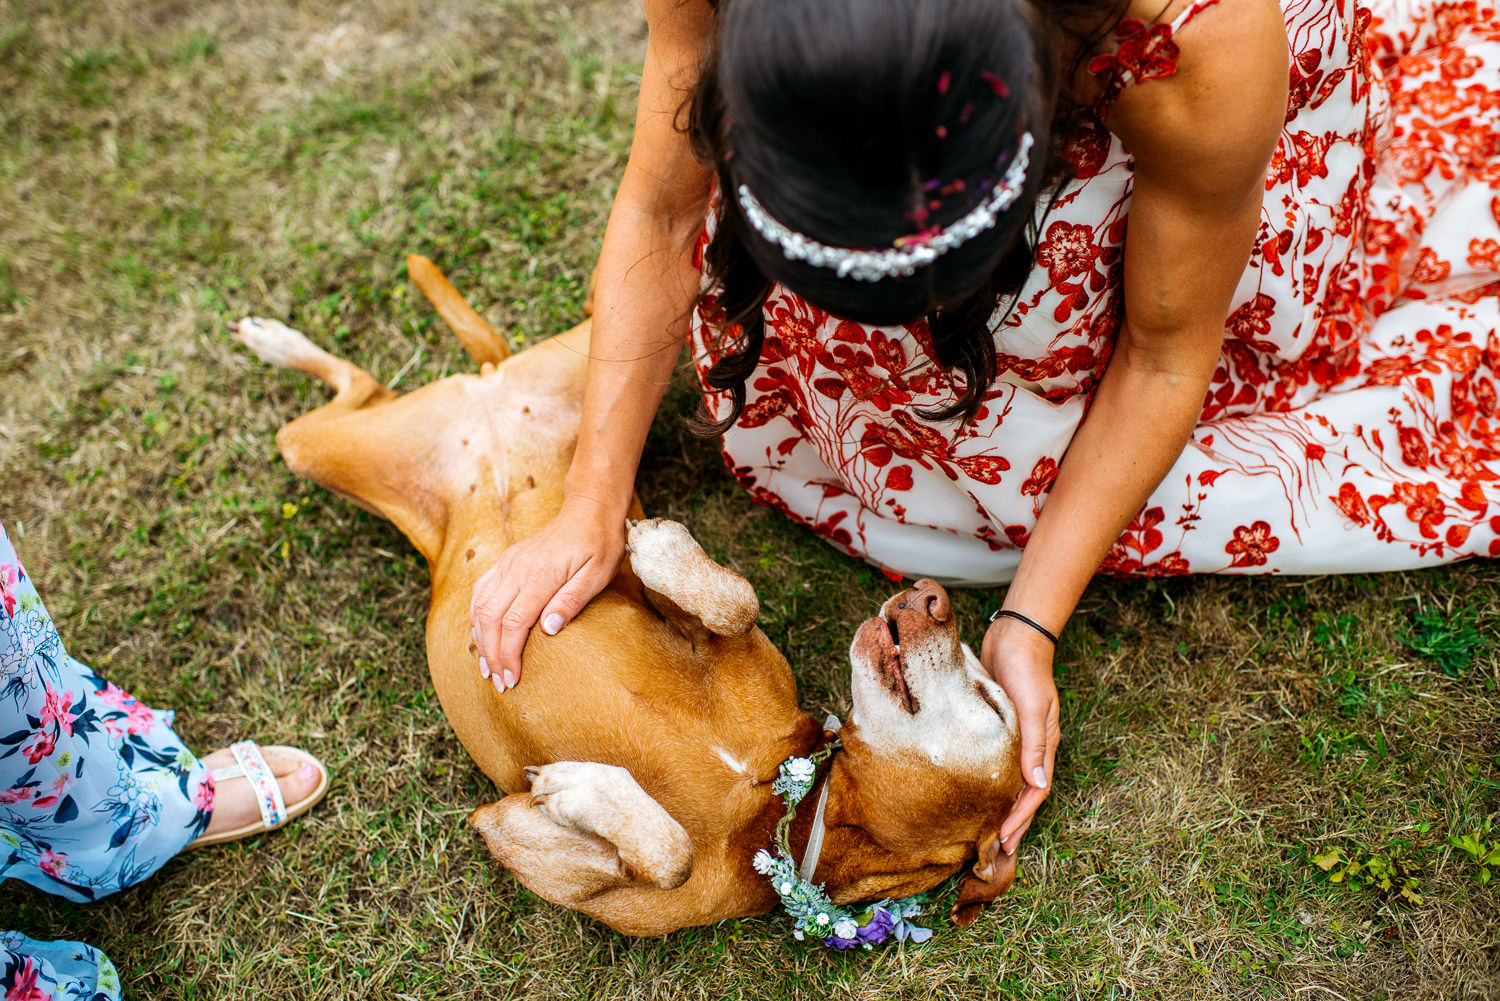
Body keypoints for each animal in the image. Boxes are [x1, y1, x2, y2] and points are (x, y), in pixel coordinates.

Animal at [234, 261, 1026, 942]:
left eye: (992, 702)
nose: (932, 596)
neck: (773, 803)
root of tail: (486, 385)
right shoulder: (709, 635)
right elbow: (736, 601)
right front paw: (657, 548)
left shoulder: (520, 835)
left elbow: (670, 853)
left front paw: (583, 786)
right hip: (603, 348)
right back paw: (275, 337)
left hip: (336, 445)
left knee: (358, 387)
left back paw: (277, 339)